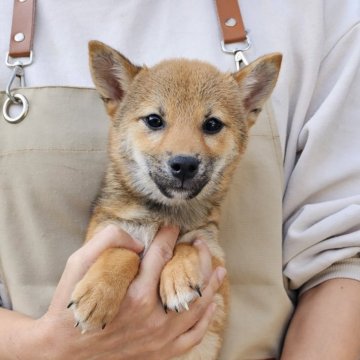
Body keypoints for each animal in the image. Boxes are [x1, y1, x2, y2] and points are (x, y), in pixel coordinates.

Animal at [68, 40, 282, 358]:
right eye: (154, 120)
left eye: (212, 124)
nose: (184, 164)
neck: (164, 215)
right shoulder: (103, 234)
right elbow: (122, 251)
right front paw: (97, 293)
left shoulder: (215, 260)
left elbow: (188, 245)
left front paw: (179, 277)